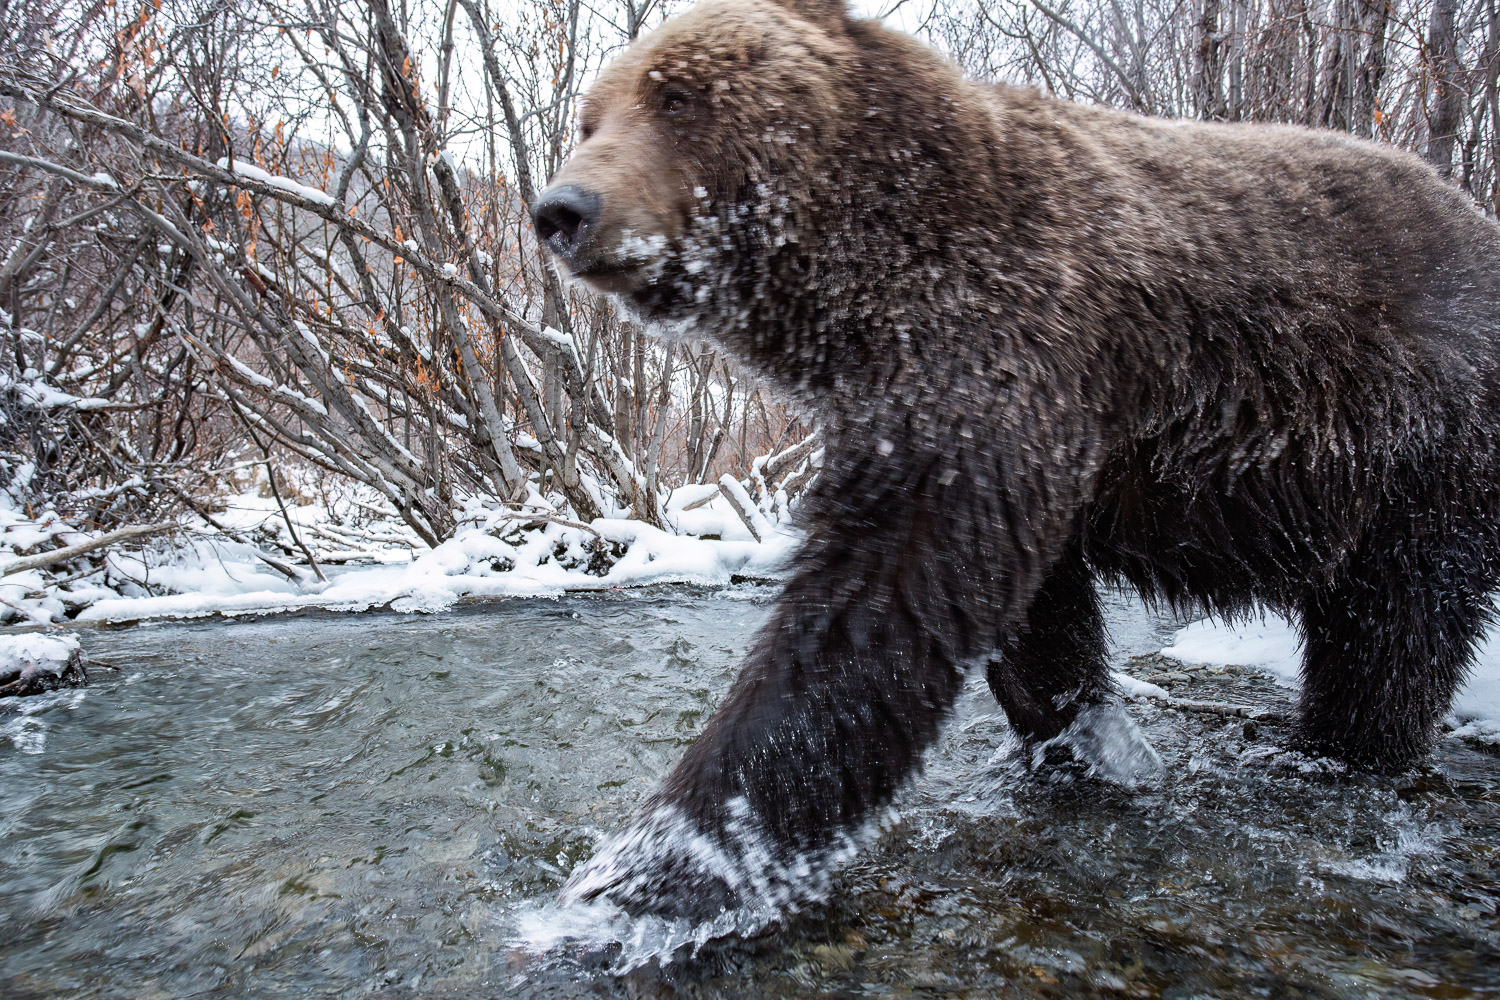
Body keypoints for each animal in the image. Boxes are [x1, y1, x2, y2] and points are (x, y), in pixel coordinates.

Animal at [534, 0, 1500, 929]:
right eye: (590, 116)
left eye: (677, 95)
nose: (563, 209)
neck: (868, 284)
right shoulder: (989, 428)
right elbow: (1033, 619)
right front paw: (1084, 745)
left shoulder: (998, 361)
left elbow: (865, 620)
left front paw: (647, 877)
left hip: (1419, 442)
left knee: (1394, 627)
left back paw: (1341, 751)